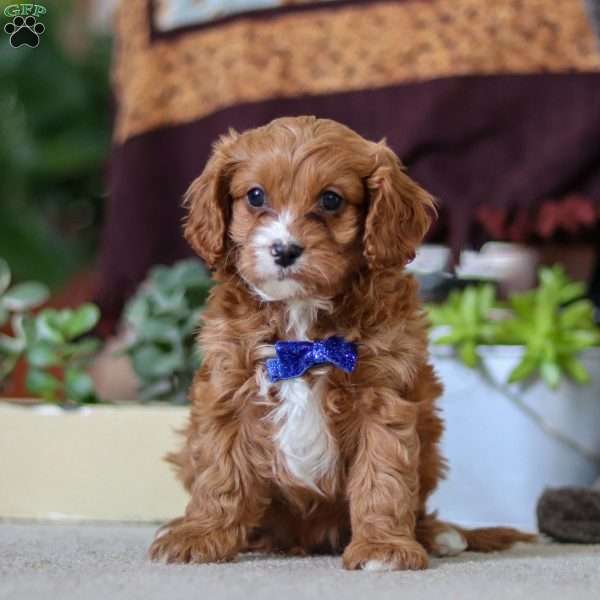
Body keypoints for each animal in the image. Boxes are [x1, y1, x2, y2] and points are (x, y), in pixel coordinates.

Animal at [151, 115, 536, 568]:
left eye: (331, 200)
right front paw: (201, 535)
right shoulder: (227, 390)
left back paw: (437, 535)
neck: (302, 325)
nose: (284, 250)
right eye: (256, 196)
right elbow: (220, 472)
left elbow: (383, 477)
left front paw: (382, 548)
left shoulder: (384, 396)